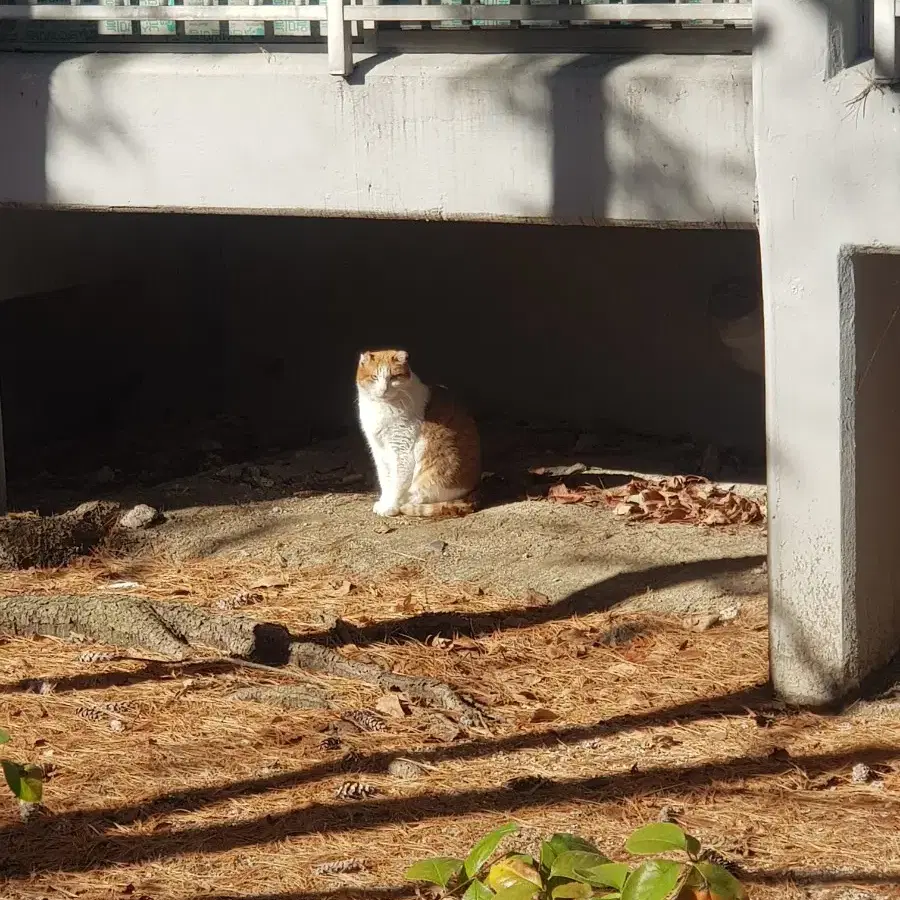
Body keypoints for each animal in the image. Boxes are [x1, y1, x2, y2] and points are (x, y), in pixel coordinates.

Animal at [356, 352, 482, 520]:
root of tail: (476, 487)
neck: (382, 407)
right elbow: (385, 479)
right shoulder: (378, 449)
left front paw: (390, 506)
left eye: (393, 377)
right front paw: (384, 501)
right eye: (374, 377)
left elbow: (396, 483)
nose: (383, 389)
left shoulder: (401, 451)